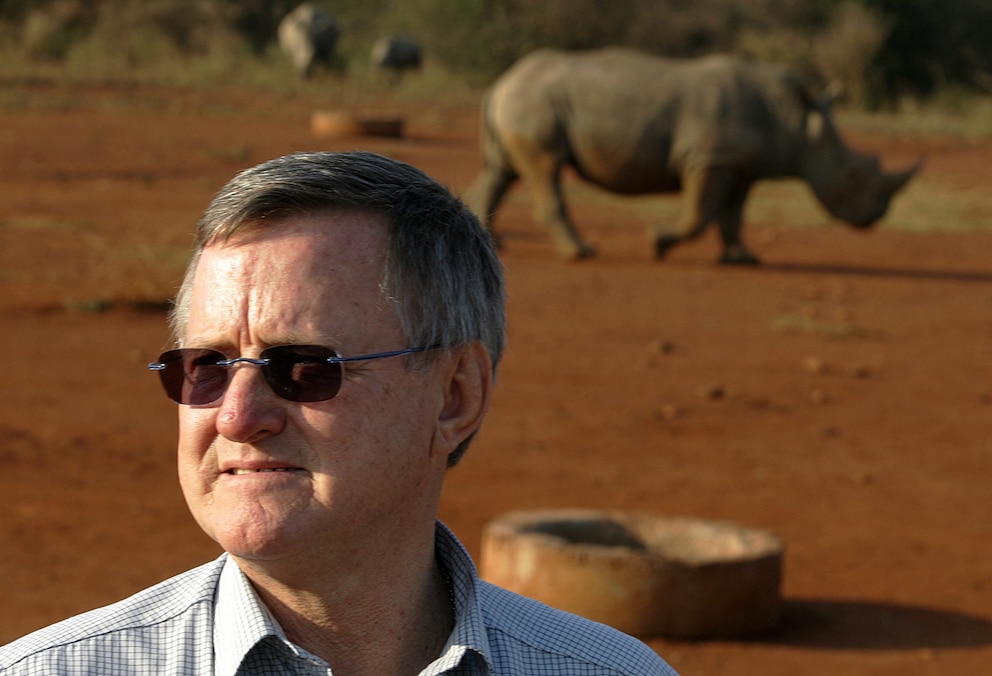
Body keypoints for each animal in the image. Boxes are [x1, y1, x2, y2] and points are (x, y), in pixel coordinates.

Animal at [465, 48, 920, 264]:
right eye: (852, 176)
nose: (874, 219)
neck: (795, 120)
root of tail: (502, 81)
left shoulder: (739, 165)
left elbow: (732, 216)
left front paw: (743, 259)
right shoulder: (709, 157)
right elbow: (700, 214)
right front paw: (657, 243)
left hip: (525, 103)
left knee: (502, 172)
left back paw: (495, 247)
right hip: (534, 105)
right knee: (545, 168)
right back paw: (581, 253)